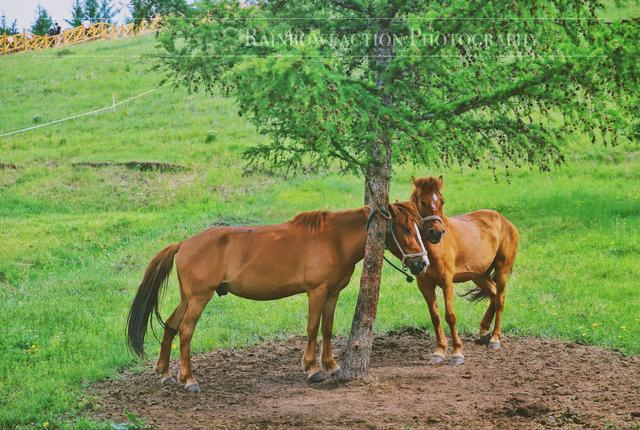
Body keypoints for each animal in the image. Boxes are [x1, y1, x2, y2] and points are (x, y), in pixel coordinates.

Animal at [125, 202, 428, 390]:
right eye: (404, 227)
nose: (422, 263)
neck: (335, 239)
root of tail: (184, 244)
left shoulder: (332, 293)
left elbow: (327, 328)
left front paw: (330, 365)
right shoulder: (316, 292)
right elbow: (312, 327)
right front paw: (312, 368)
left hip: (188, 298)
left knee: (171, 326)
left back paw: (165, 373)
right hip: (199, 299)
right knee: (186, 331)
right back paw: (189, 379)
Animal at [410, 176, 520, 364]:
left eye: (442, 201)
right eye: (422, 201)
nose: (436, 233)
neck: (433, 250)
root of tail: (505, 221)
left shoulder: (447, 282)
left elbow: (450, 316)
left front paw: (457, 353)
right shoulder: (425, 285)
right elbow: (435, 317)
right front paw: (439, 351)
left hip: (502, 270)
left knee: (500, 299)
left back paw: (495, 338)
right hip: (479, 275)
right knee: (493, 295)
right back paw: (484, 332)